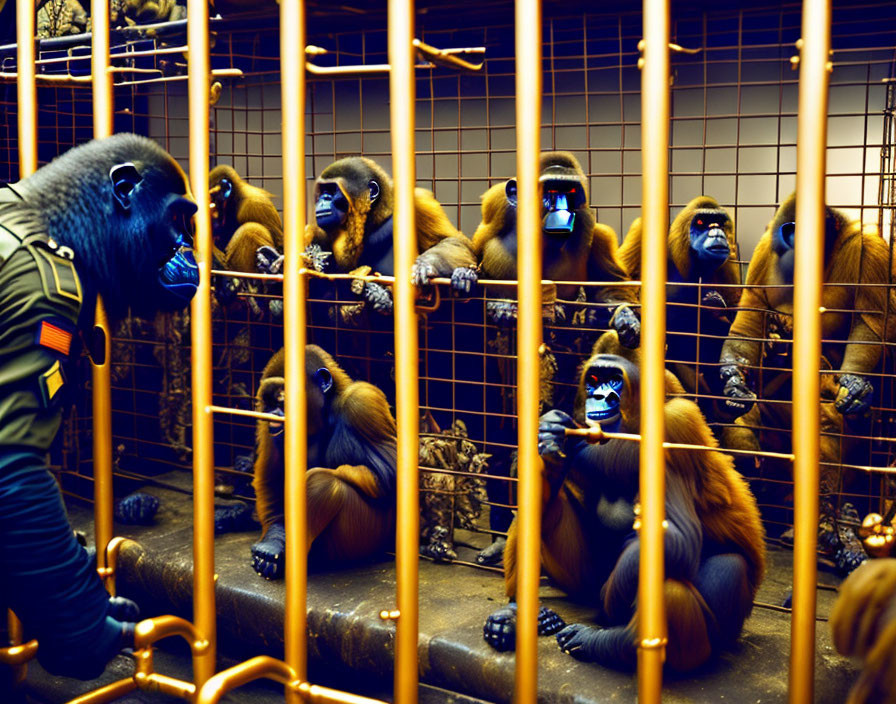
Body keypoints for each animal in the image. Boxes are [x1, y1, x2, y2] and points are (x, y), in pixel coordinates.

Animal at [248, 342, 396, 576]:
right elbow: (272, 478)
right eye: (269, 403)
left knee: (325, 482)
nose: (276, 415)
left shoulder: (362, 401)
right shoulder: (267, 424)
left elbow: (389, 476)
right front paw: (275, 539)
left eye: (283, 398)